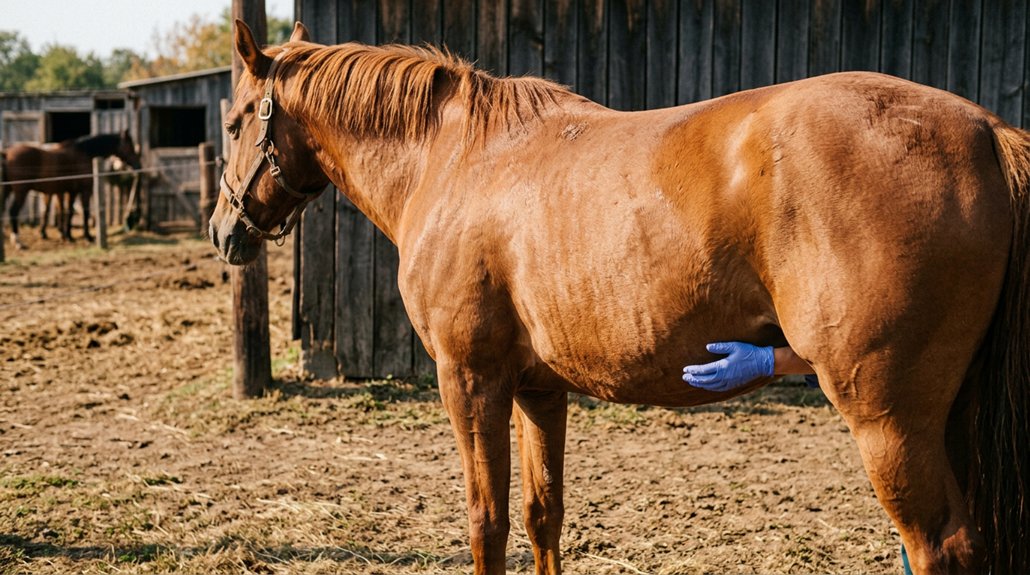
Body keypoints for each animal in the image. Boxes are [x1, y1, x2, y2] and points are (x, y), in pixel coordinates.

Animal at [2, 130, 141, 247]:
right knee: (13, 211)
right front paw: (88, 237)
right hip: (21, 191)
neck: (85, 154)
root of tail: (7, 153)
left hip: (8, 190)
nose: (138, 165)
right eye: (130, 146)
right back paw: (18, 242)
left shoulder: (71, 192)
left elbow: (69, 211)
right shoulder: (84, 190)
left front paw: (68, 236)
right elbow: (85, 212)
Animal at [210, 21, 1030, 574]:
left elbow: (486, 520)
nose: (223, 230)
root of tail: (986, 132)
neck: (455, 159)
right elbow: (541, 515)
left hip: (888, 421)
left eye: (234, 121)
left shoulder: (469, 379)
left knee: (940, 545)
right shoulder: (538, 389)